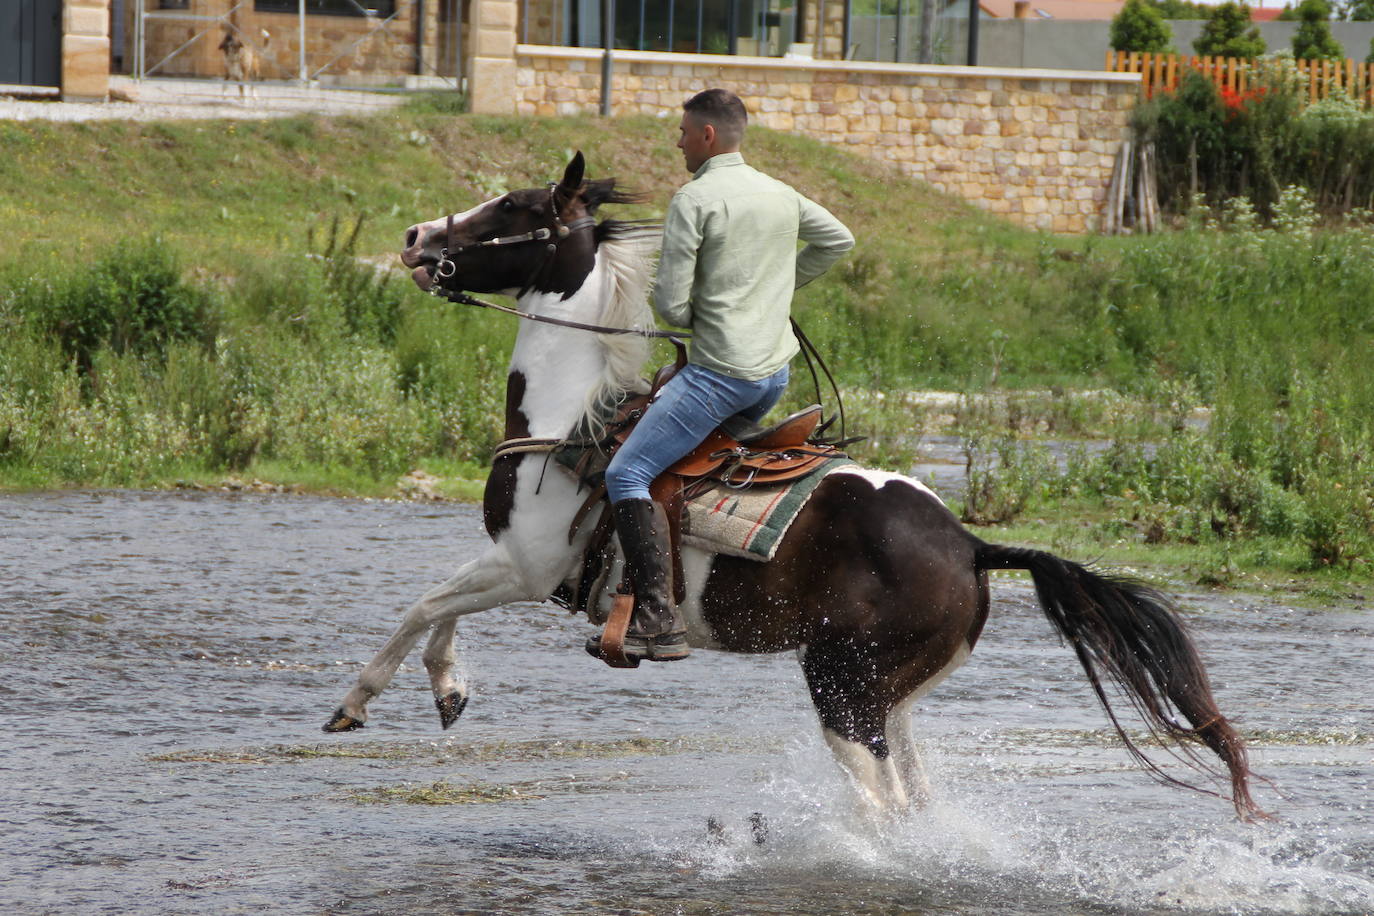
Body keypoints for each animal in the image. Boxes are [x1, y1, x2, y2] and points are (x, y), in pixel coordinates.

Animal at [324, 152, 1264, 823]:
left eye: (513, 208)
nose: (415, 238)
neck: (573, 424)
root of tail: (971, 545)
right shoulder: (511, 568)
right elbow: (436, 606)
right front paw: (448, 692)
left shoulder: (525, 567)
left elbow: (424, 604)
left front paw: (363, 703)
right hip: (895, 701)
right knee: (912, 798)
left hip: (842, 688)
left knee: (882, 805)